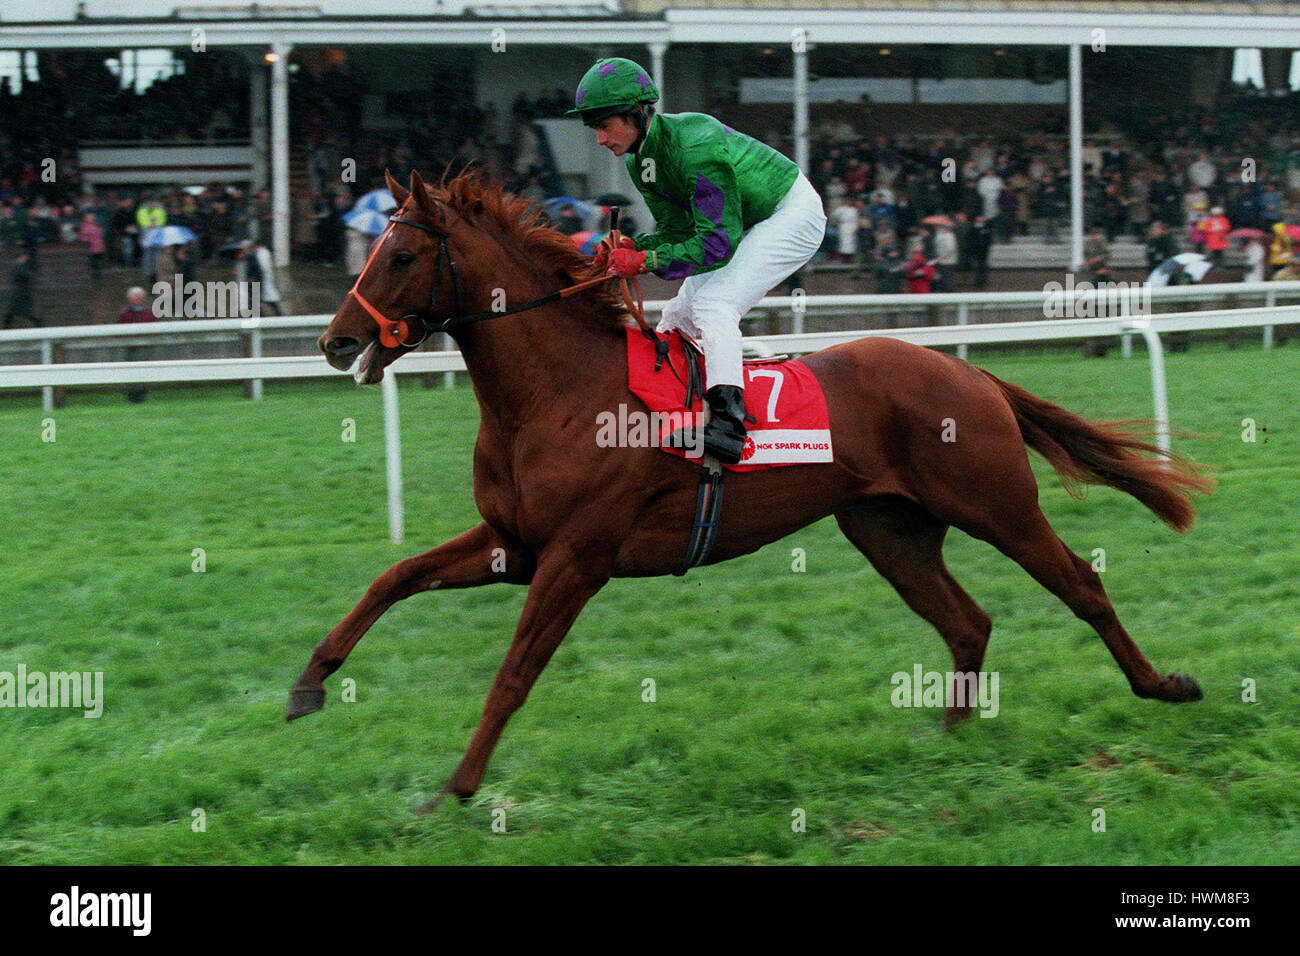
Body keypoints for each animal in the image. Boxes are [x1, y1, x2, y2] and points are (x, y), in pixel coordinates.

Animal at [289, 167, 1211, 811]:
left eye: (403, 254)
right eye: (372, 247)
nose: (337, 342)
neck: (556, 391)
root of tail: (969, 372)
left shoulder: (577, 557)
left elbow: (515, 672)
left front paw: (456, 785)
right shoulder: (514, 545)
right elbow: (393, 577)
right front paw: (310, 683)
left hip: (997, 506)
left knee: (1081, 585)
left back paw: (1165, 685)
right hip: (889, 529)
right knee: (967, 622)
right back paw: (947, 745)